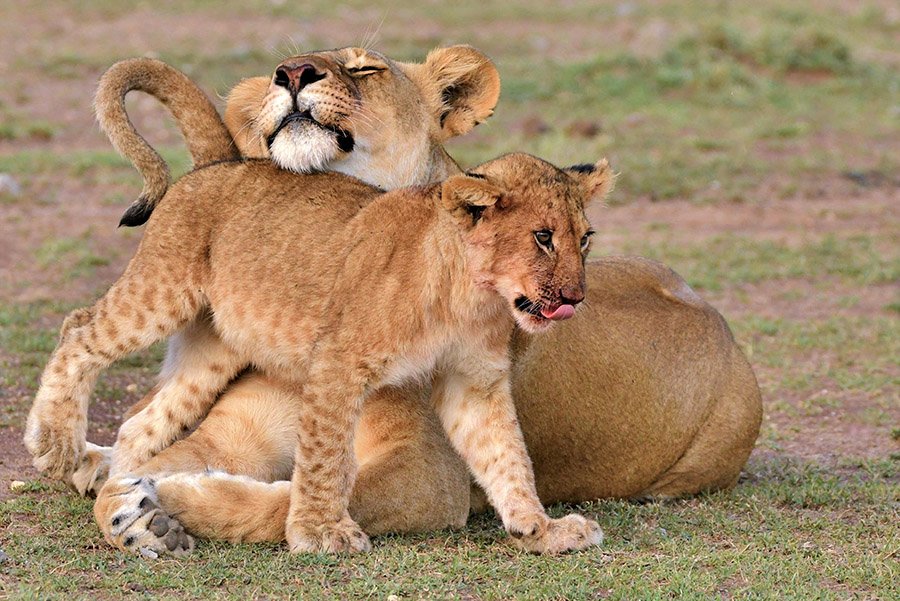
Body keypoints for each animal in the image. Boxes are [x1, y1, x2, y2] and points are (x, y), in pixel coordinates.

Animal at [30, 151, 613, 556]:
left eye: (585, 239)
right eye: (542, 237)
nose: (576, 298)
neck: (472, 297)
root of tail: (205, 170)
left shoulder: (475, 381)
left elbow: (507, 456)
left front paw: (540, 530)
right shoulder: (337, 361)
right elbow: (325, 456)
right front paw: (319, 532)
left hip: (212, 349)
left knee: (142, 422)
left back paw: (126, 496)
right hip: (162, 291)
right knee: (78, 330)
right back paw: (55, 445)